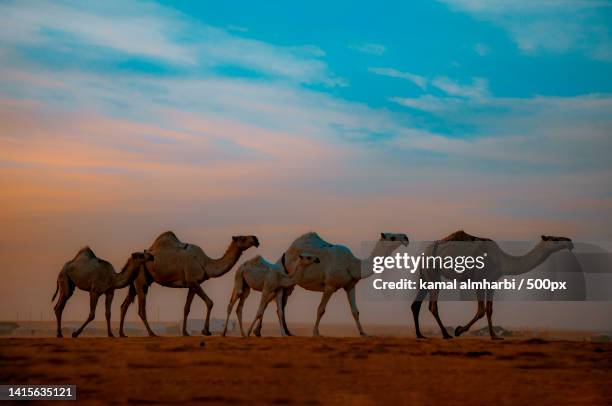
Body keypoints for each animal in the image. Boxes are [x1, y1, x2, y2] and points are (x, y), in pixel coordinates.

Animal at [119, 230, 258, 338]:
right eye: (243, 238)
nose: (255, 239)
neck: (205, 263)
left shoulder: (192, 284)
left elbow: (187, 308)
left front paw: (185, 333)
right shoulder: (193, 281)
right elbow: (210, 302)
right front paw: (206, 331)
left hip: (135, 282)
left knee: (124, 305)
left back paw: (122, 334)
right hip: (141, 281)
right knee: (141, 309)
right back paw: (152, 333)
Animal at [284, 232, 412, 336]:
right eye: (392, 237)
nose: (406, 238)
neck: (352, 264)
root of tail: (288, 250)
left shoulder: (350, 286)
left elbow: (355, 311)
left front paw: (363, 333)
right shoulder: (330, 286)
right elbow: (321, 309)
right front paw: (316, 333)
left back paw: (287, 331)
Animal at [412, 232, 572, 340]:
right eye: (555, 239)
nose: (570, 242)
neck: (501, 260)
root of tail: (425, 252)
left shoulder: (491, 282)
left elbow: (489, 310)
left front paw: (494, 336)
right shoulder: (479, 279)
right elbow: (481, 310)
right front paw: (458, 330)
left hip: (426, 274)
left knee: (416, 304)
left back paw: (420, 335)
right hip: (433, 271)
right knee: (433, 305)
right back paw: (446, 334)